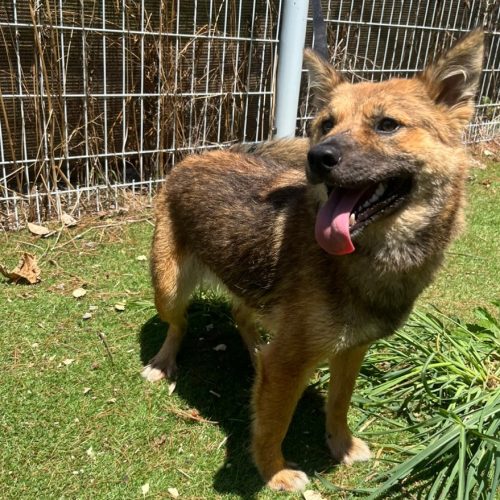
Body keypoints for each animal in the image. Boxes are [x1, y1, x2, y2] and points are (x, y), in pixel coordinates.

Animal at [142, 30, 484, 491]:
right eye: (326, 124)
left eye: (387, 125)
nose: (317, 156)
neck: (366, 260)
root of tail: (196, 156)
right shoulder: (289, 363)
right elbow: (273, 424)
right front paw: (275, 472)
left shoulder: (352, 349)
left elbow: (339, 402)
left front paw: (341, 445)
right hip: (168, 286)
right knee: (178, 324)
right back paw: (164, 362)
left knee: (243, 316)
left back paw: (254, 351)